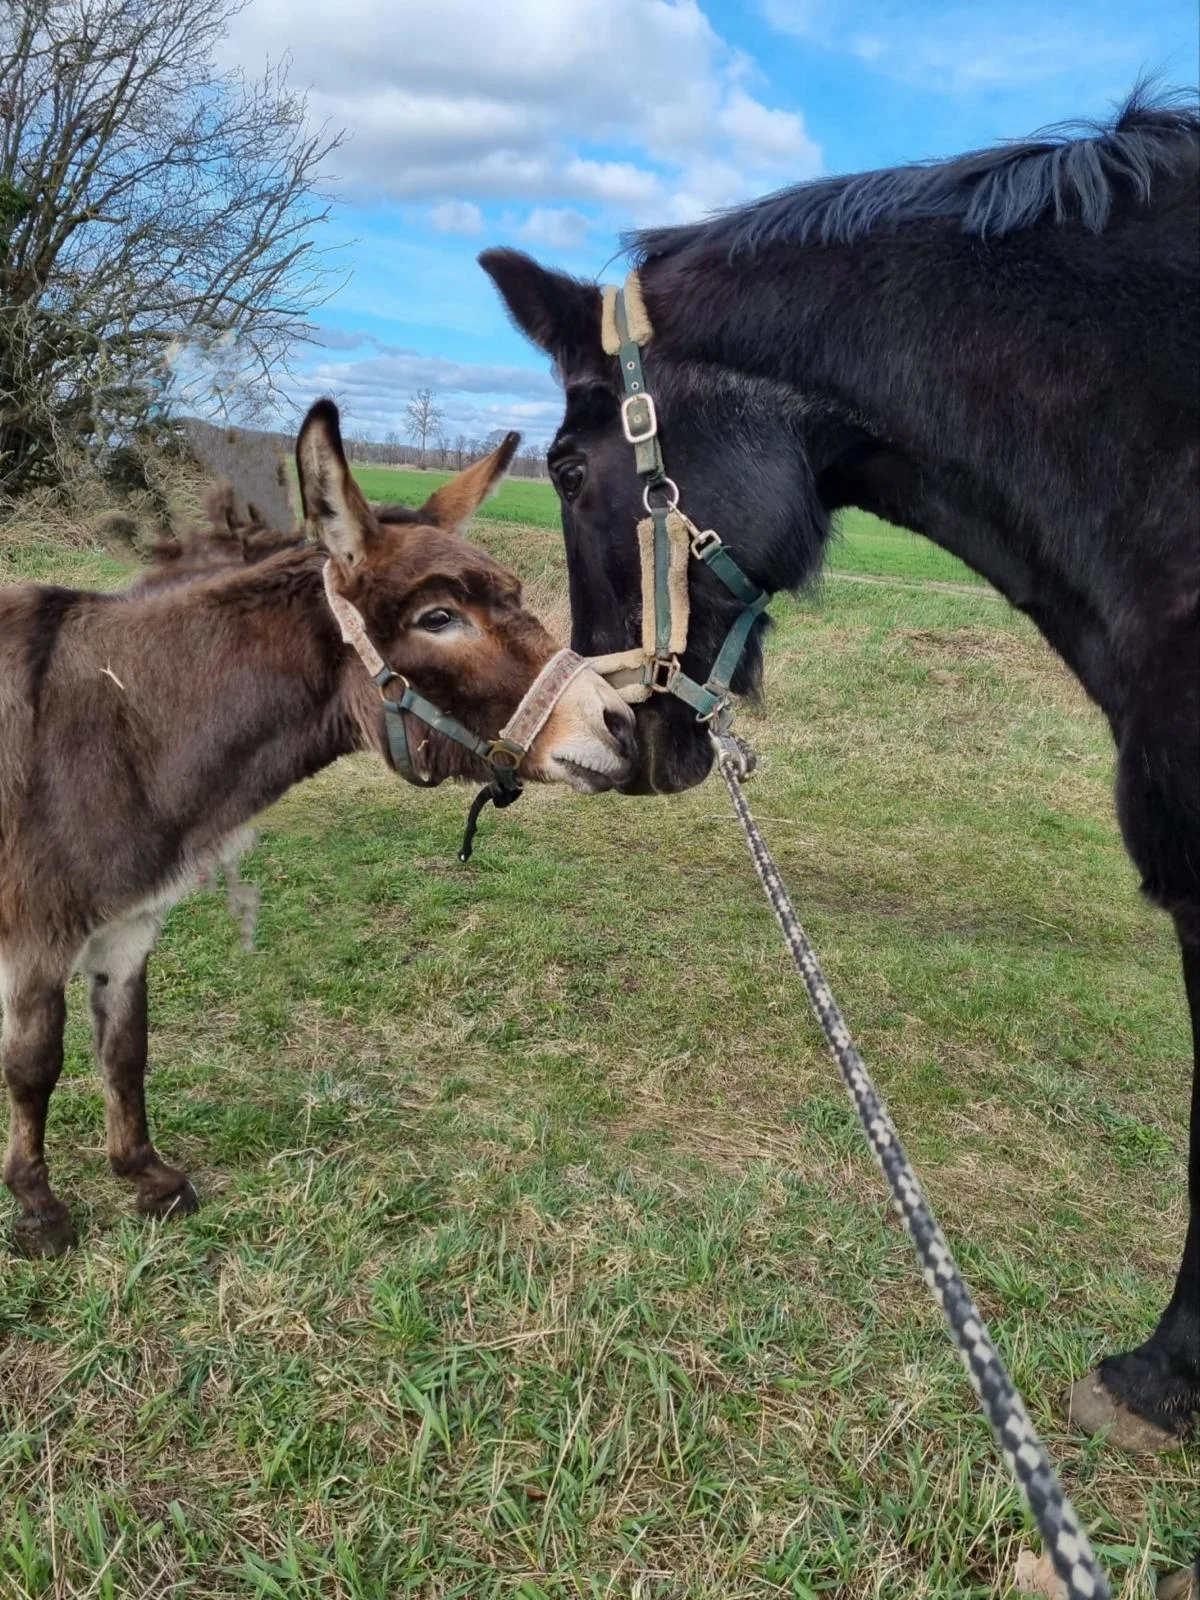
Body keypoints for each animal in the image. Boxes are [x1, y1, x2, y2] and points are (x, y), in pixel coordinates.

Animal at [0, 399, 635, 1257]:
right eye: (440, 617)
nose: (622, 724)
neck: (124, 720)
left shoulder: (130, 925)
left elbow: (126, 1049)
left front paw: (145, 1175)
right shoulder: (36, 935)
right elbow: (34, 1063)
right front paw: (38, 1208)